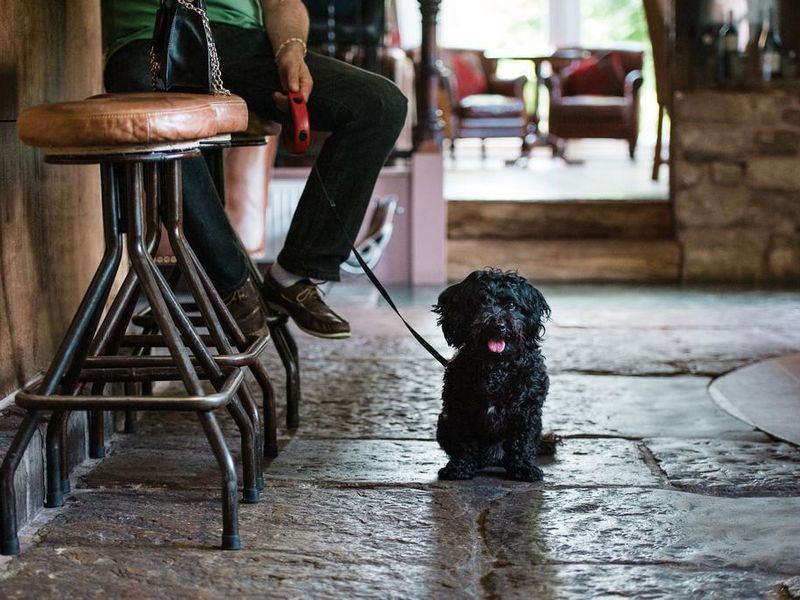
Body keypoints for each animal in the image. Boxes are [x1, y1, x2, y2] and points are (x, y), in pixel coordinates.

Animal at [432, 270, 556, 480]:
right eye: (480, 303)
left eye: (512, 305)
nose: (498, 326)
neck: (496, 365)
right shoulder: (459, 409)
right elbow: (464, 442)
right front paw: (459, 467)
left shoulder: (526, 410)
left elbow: (522, 441)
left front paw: (524, 467)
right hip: (444, 421)